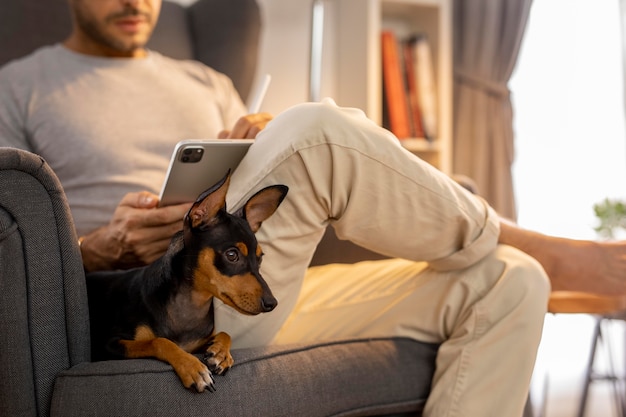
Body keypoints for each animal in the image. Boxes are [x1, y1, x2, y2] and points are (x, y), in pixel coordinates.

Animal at [84, 173, 288, 394]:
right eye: (232, 255)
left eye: (260, 259)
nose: (272, 303)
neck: (192, 302)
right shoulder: (109, 345)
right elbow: (159, 341)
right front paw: (192, 367)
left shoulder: (197, 343)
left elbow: (225, 333)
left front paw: (221, 353)